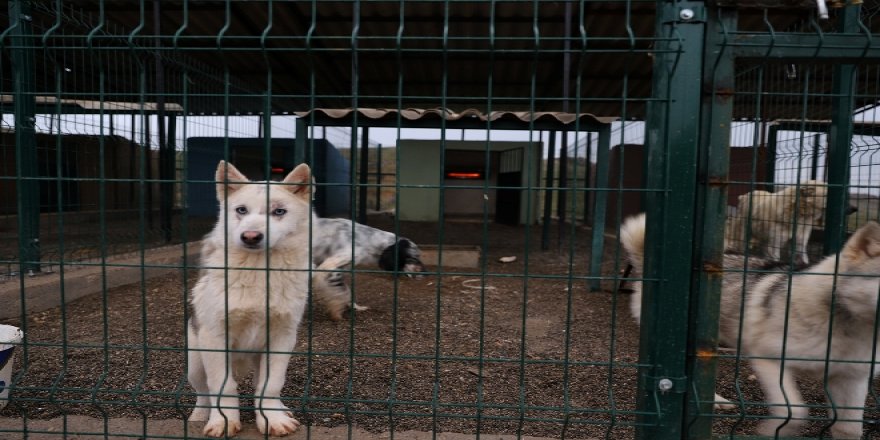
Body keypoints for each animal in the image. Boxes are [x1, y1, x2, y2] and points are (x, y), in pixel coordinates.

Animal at [186, 161, 312, 436]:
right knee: (202, 391)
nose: (251, 236)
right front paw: (222, 421)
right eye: (241, 210)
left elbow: (271, 385)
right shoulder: (214, 337)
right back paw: (200, 415)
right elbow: (222, 386)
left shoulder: (282, 337)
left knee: (259, 383)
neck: (257, 271)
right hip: (196, 362)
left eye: (279, 211)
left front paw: (273, 419)